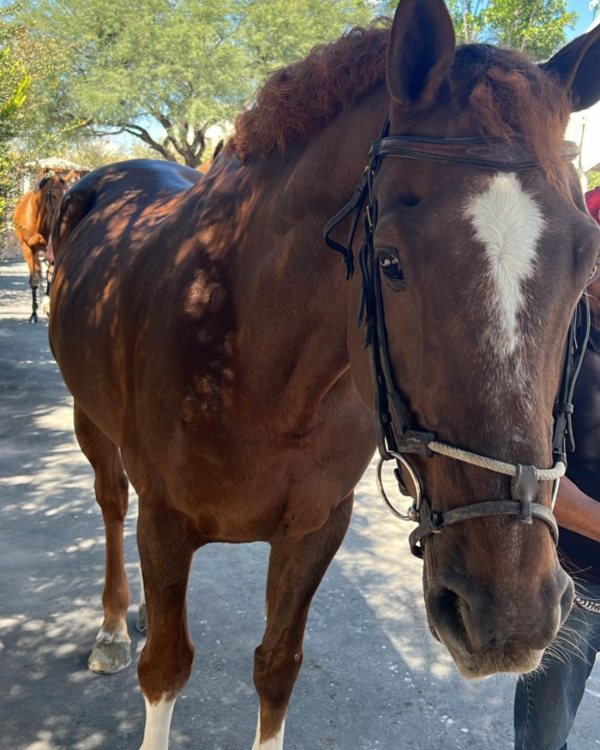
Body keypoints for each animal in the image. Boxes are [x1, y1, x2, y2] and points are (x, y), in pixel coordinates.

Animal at [13, 175, 67, 324]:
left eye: (66, 191)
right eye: (53, 195)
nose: (61, 215)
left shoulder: (51, 249)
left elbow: (49, 277)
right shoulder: (28, 249)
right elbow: (34, 280)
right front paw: (33, 314)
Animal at [48, 0, 600, 748]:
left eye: (586, 263)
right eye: (390, 262)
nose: (510, 613)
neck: (261, 372)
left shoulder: (315, 531)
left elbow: (278, 665)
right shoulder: (163, 522)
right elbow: (164, 667)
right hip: (90, 421)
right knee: (110, 503)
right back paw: (111, 626)